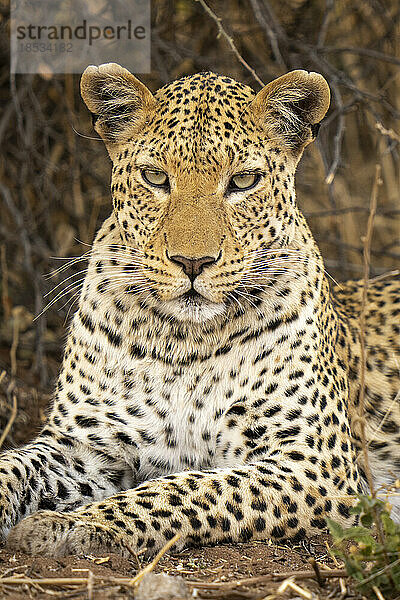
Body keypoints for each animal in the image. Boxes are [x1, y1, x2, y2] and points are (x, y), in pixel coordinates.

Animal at [0, 62, 400, 556]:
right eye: (155, 177)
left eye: (243, 181)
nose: (193, 262)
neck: (184, 342)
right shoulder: (83, 444)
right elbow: (12, 464)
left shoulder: (314, 463)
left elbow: (182, 488)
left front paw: (71, 525)